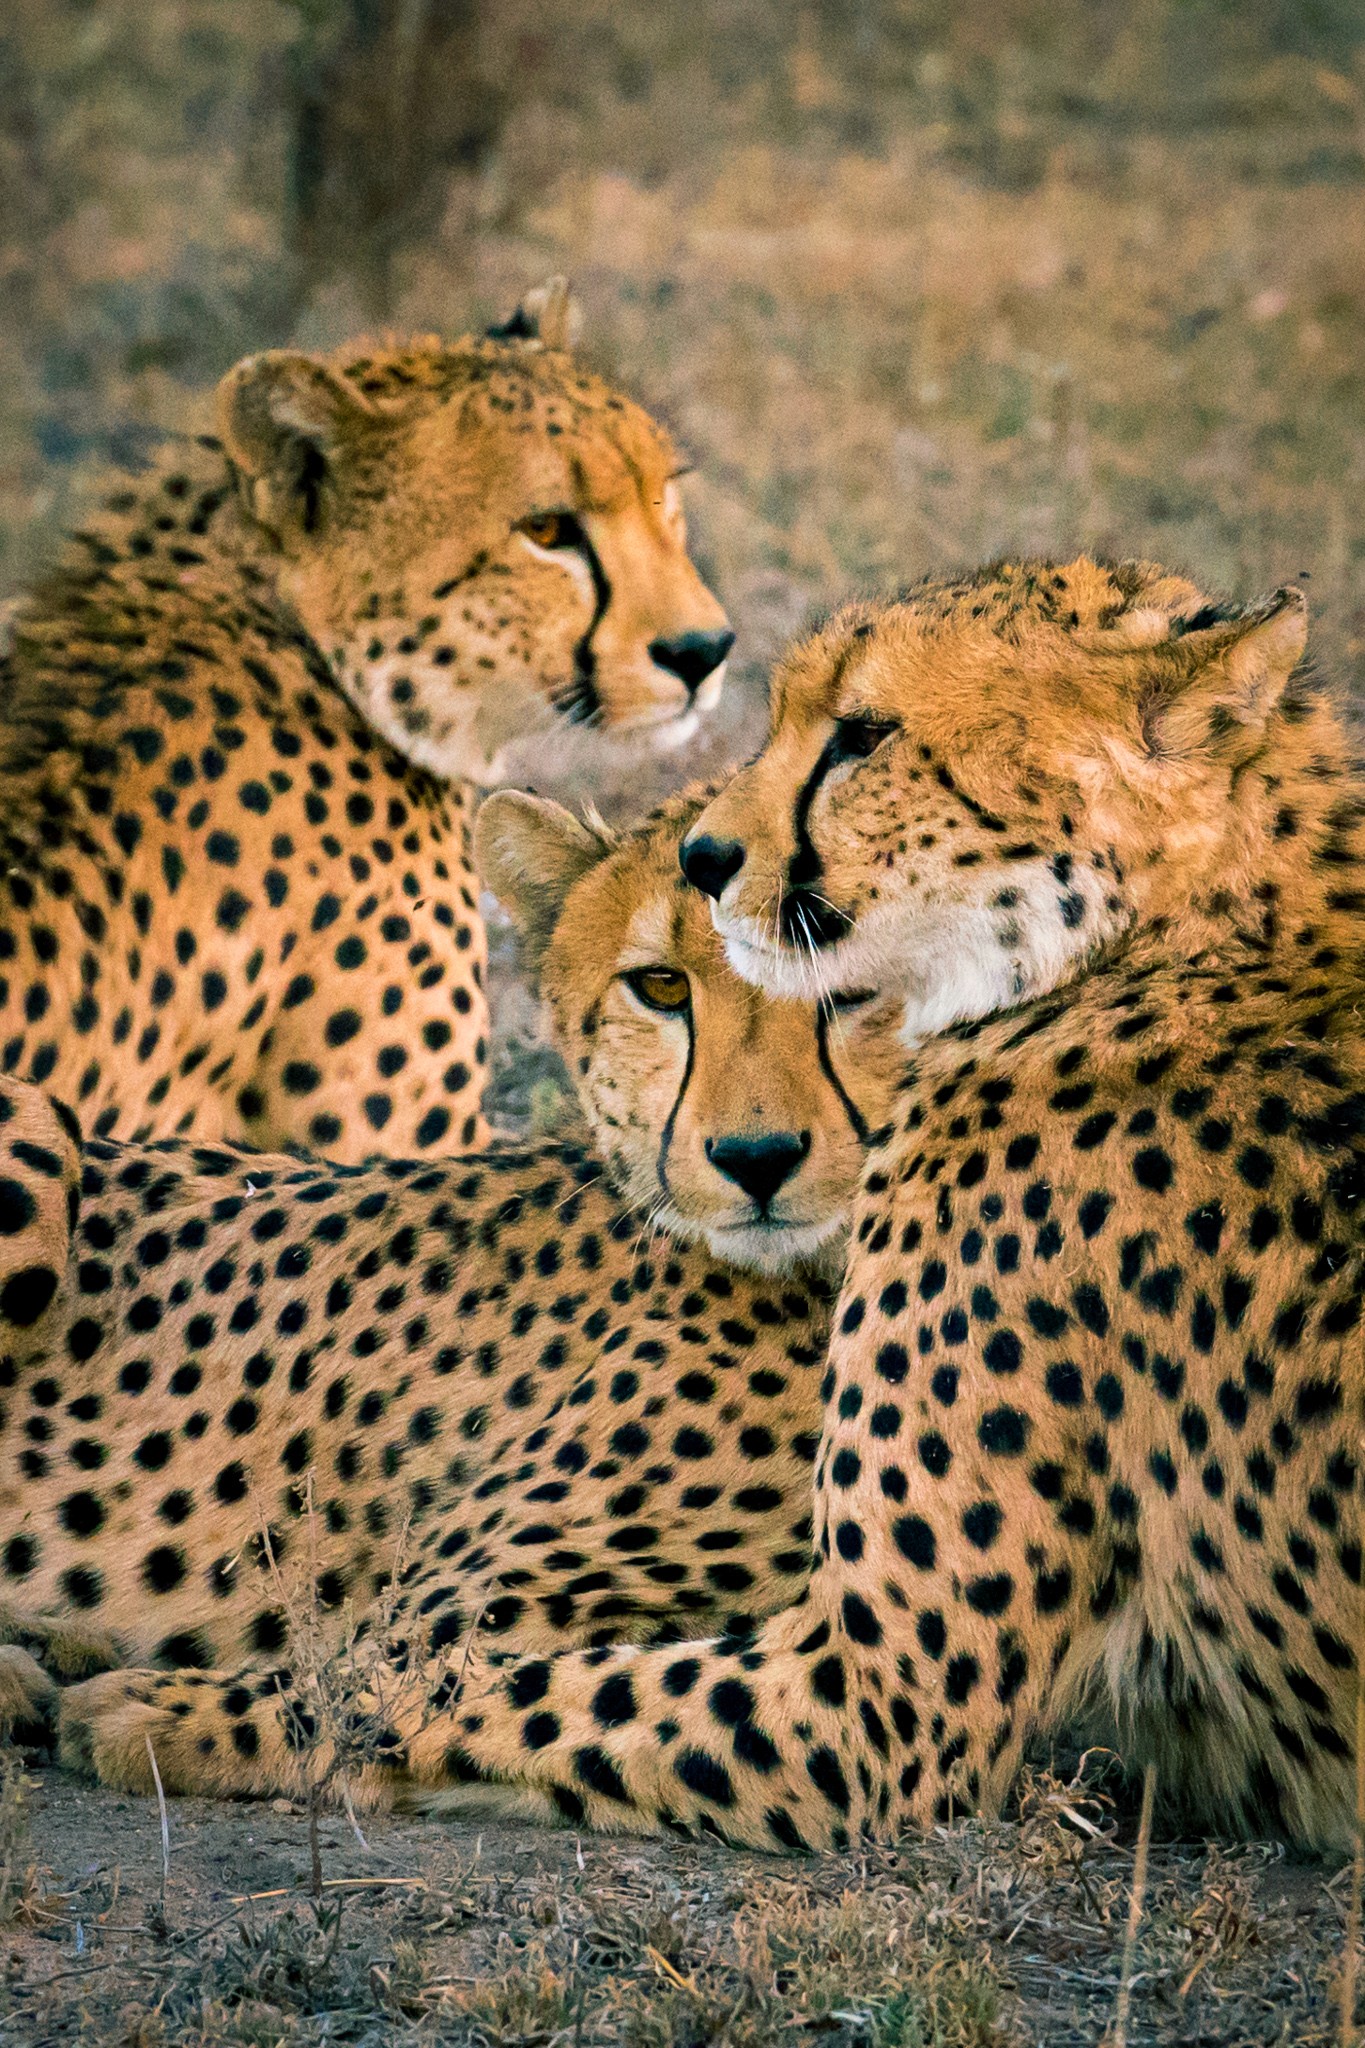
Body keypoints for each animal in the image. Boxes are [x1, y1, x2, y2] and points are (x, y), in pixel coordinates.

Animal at [0, 782, 908, 1794]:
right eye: (663, 987)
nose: (756, 1158)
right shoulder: (435, 1607)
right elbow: (369, 1682)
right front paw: (138, 1705)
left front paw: (139, 1706)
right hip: (39, 1132)